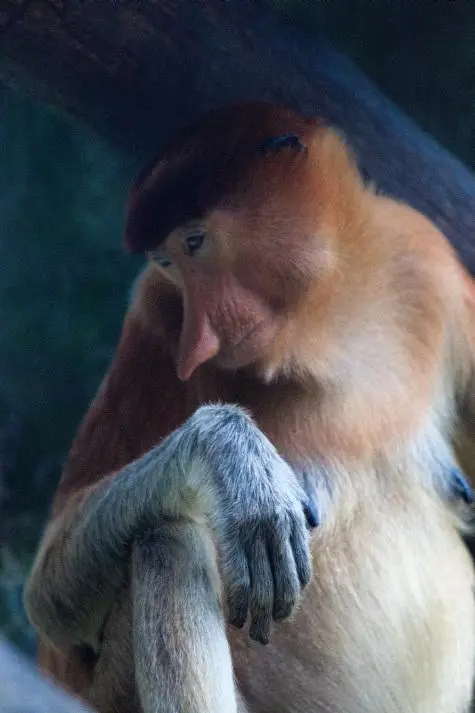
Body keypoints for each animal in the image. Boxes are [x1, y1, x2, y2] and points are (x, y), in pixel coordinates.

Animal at [24, 101, 475, 713]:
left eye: (194, 243)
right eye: (164, 261)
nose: (197, 343)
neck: (326, 332)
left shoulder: (426, 262)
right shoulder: (155, 323)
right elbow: (52, 605)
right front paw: (237, 461)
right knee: (168, 539)